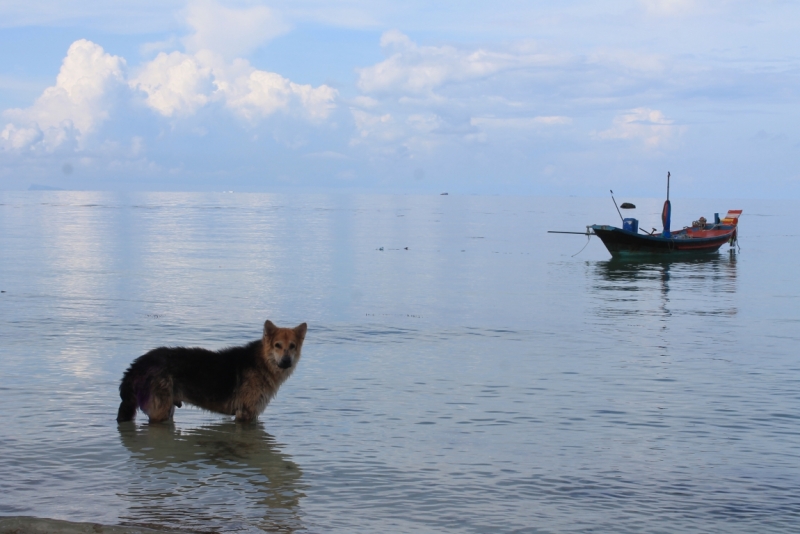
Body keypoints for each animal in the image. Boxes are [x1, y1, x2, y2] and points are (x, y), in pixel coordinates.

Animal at [117, 320, 308, 426]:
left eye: (292, 346)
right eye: (277, 345)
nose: (286, 361)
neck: (262, 362)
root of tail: (139, 363)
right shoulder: (245, 415)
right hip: (160, 413)